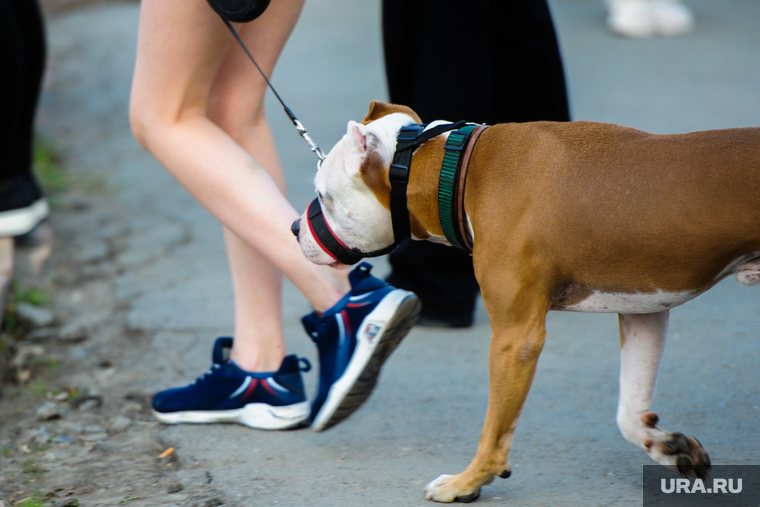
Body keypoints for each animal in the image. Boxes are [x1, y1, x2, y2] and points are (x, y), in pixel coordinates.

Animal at [294, 101, 760, 502]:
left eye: (324, 195)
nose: (295, 227)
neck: (454, 168)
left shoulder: (515, 338)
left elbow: (495, 429)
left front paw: (467, 481)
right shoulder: (643, 309)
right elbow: (629, 409)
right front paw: (667, 447)